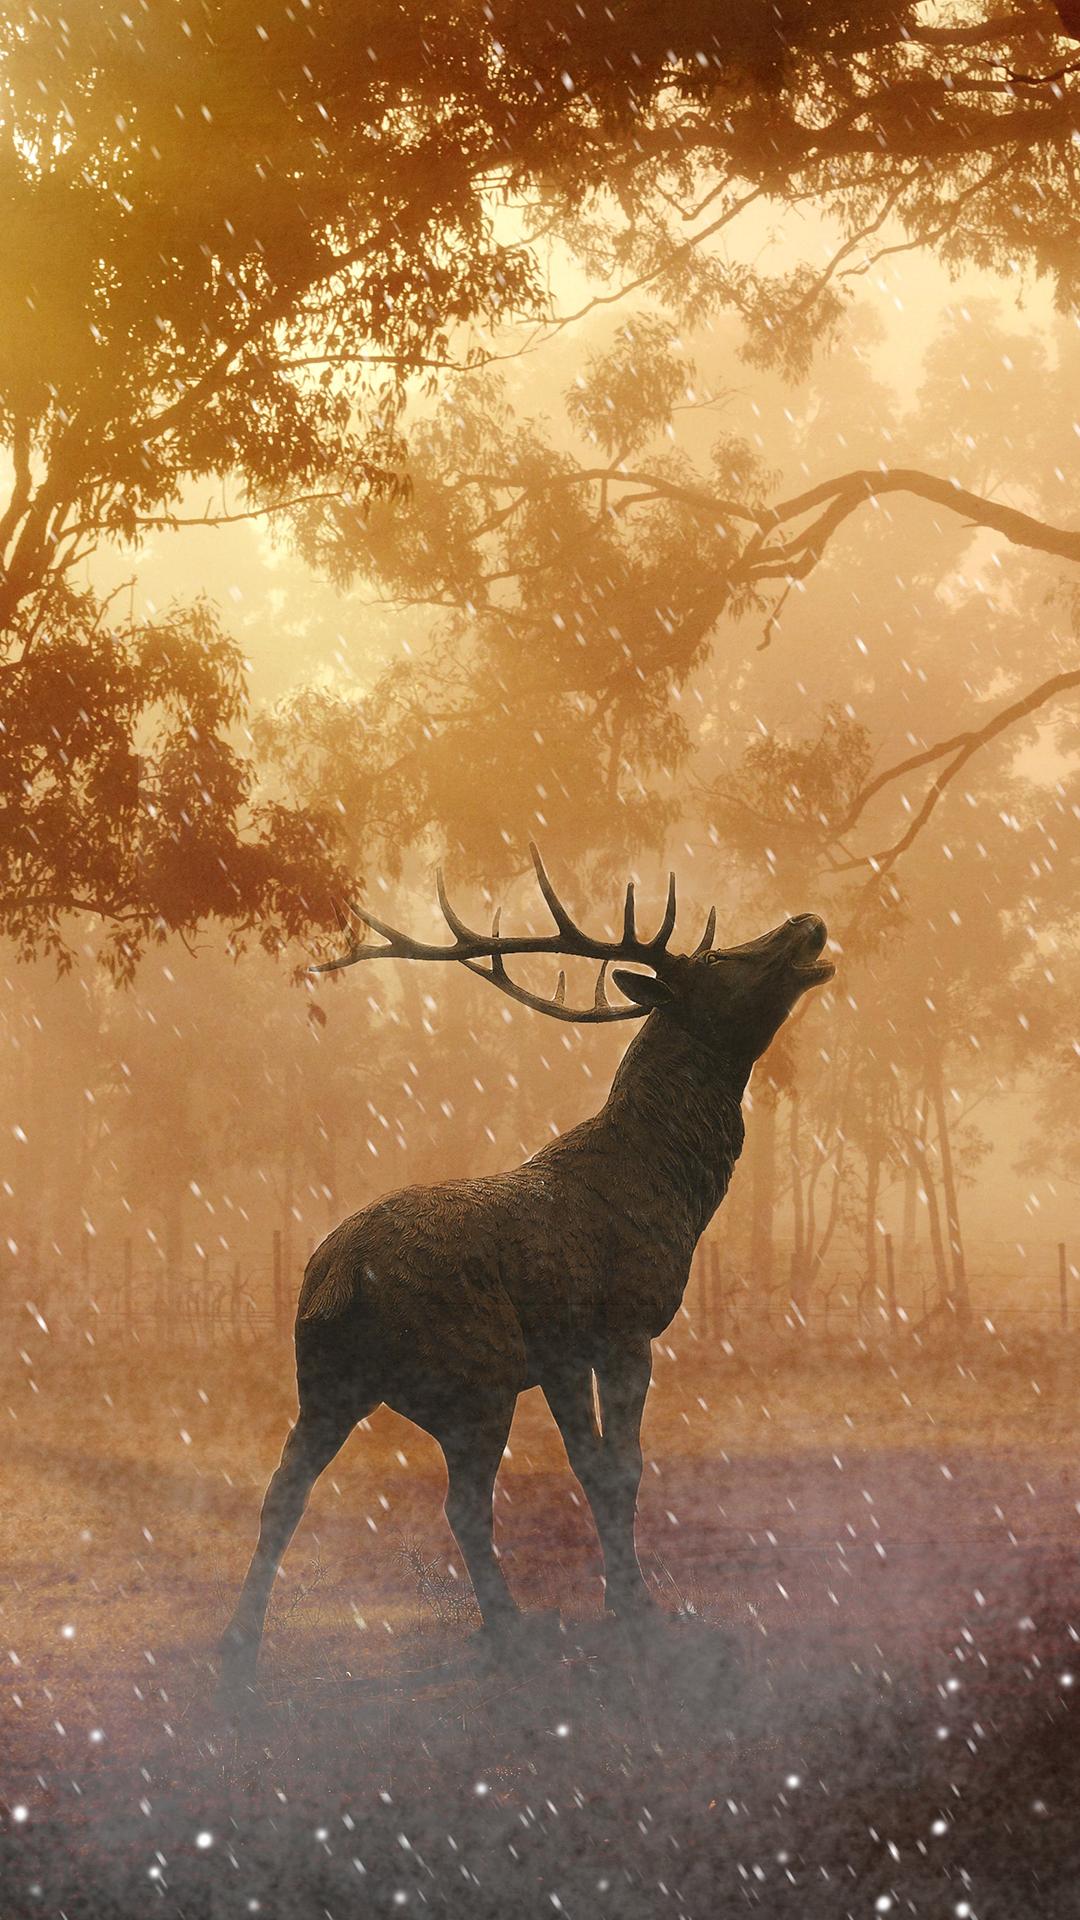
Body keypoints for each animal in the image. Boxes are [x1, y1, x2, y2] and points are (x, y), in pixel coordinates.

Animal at [220, 847, 834, 1692]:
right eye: (717, 959)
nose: (810, 920)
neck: (674, 1188)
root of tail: (332, 1284)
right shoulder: (618, 1325)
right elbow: (621, 1468)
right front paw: (640, 1612)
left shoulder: (558, 1355)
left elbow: (594, 1467)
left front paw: (618, 1599)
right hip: (471, 1379)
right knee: (462, 1504)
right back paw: (511, 1626)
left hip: (325, 1382)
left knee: (284, 1491)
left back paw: (239, 1646)